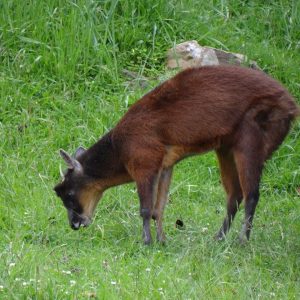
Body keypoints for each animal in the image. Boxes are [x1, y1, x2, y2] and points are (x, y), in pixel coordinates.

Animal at [54, 65, 300, 244]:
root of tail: (291, 106)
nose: (75, 224)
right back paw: (218, 238)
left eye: (68, 194)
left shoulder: (144, 163)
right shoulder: (165, 165)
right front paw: (162, 241)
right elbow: (158, 209)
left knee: (252, 195)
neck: (119, 149)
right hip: (226, 148)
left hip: (251, 138)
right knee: (235, 195)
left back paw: (242, 242)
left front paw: (146, 242)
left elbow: (146, 209)